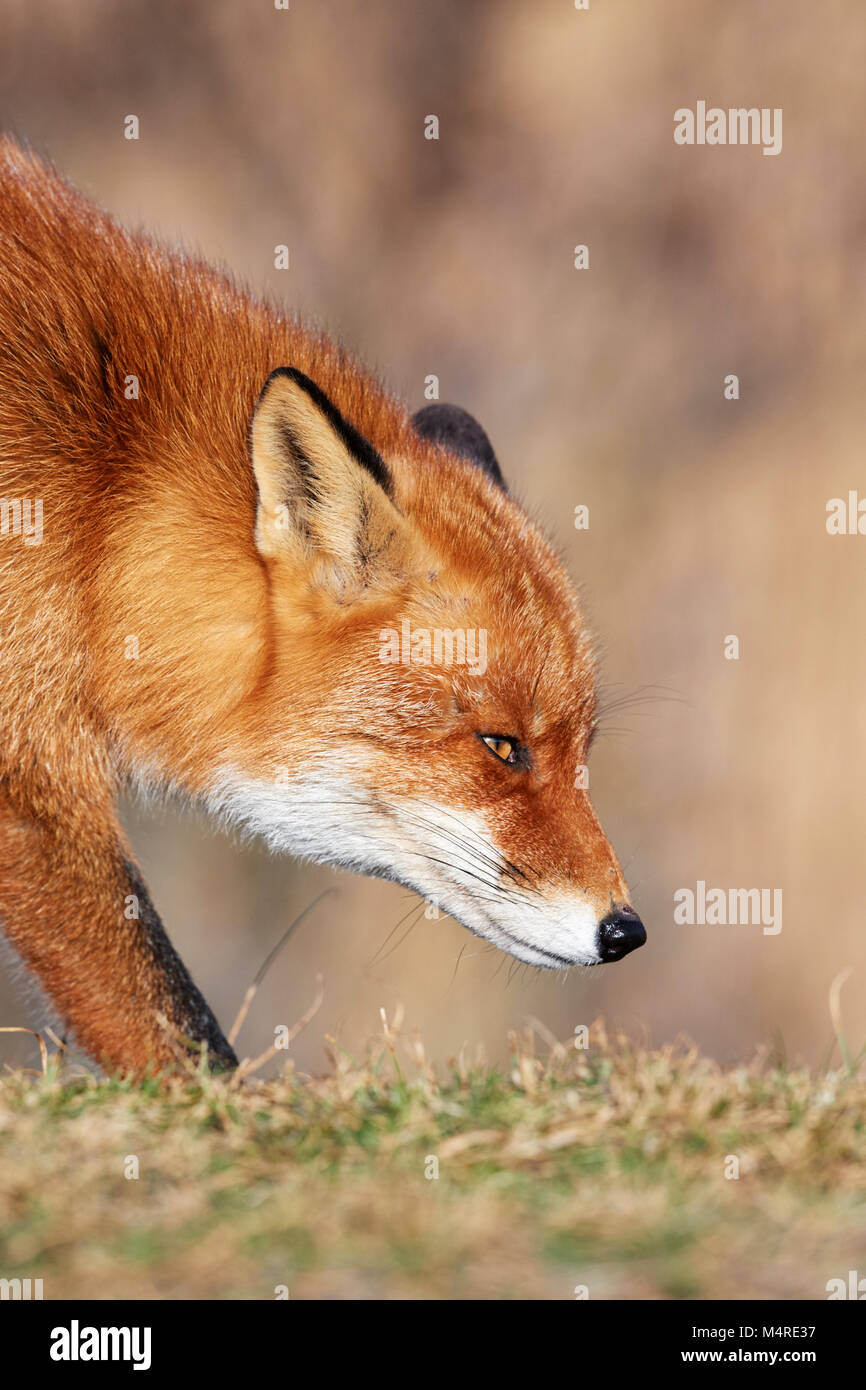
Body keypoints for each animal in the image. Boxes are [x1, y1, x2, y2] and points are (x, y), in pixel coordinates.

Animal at [0, 138, 646, 1076]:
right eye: (502, 747)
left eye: (581, 752)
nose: (625, 930)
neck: (97, 507)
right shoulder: (27, 778)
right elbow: (171, 1020)